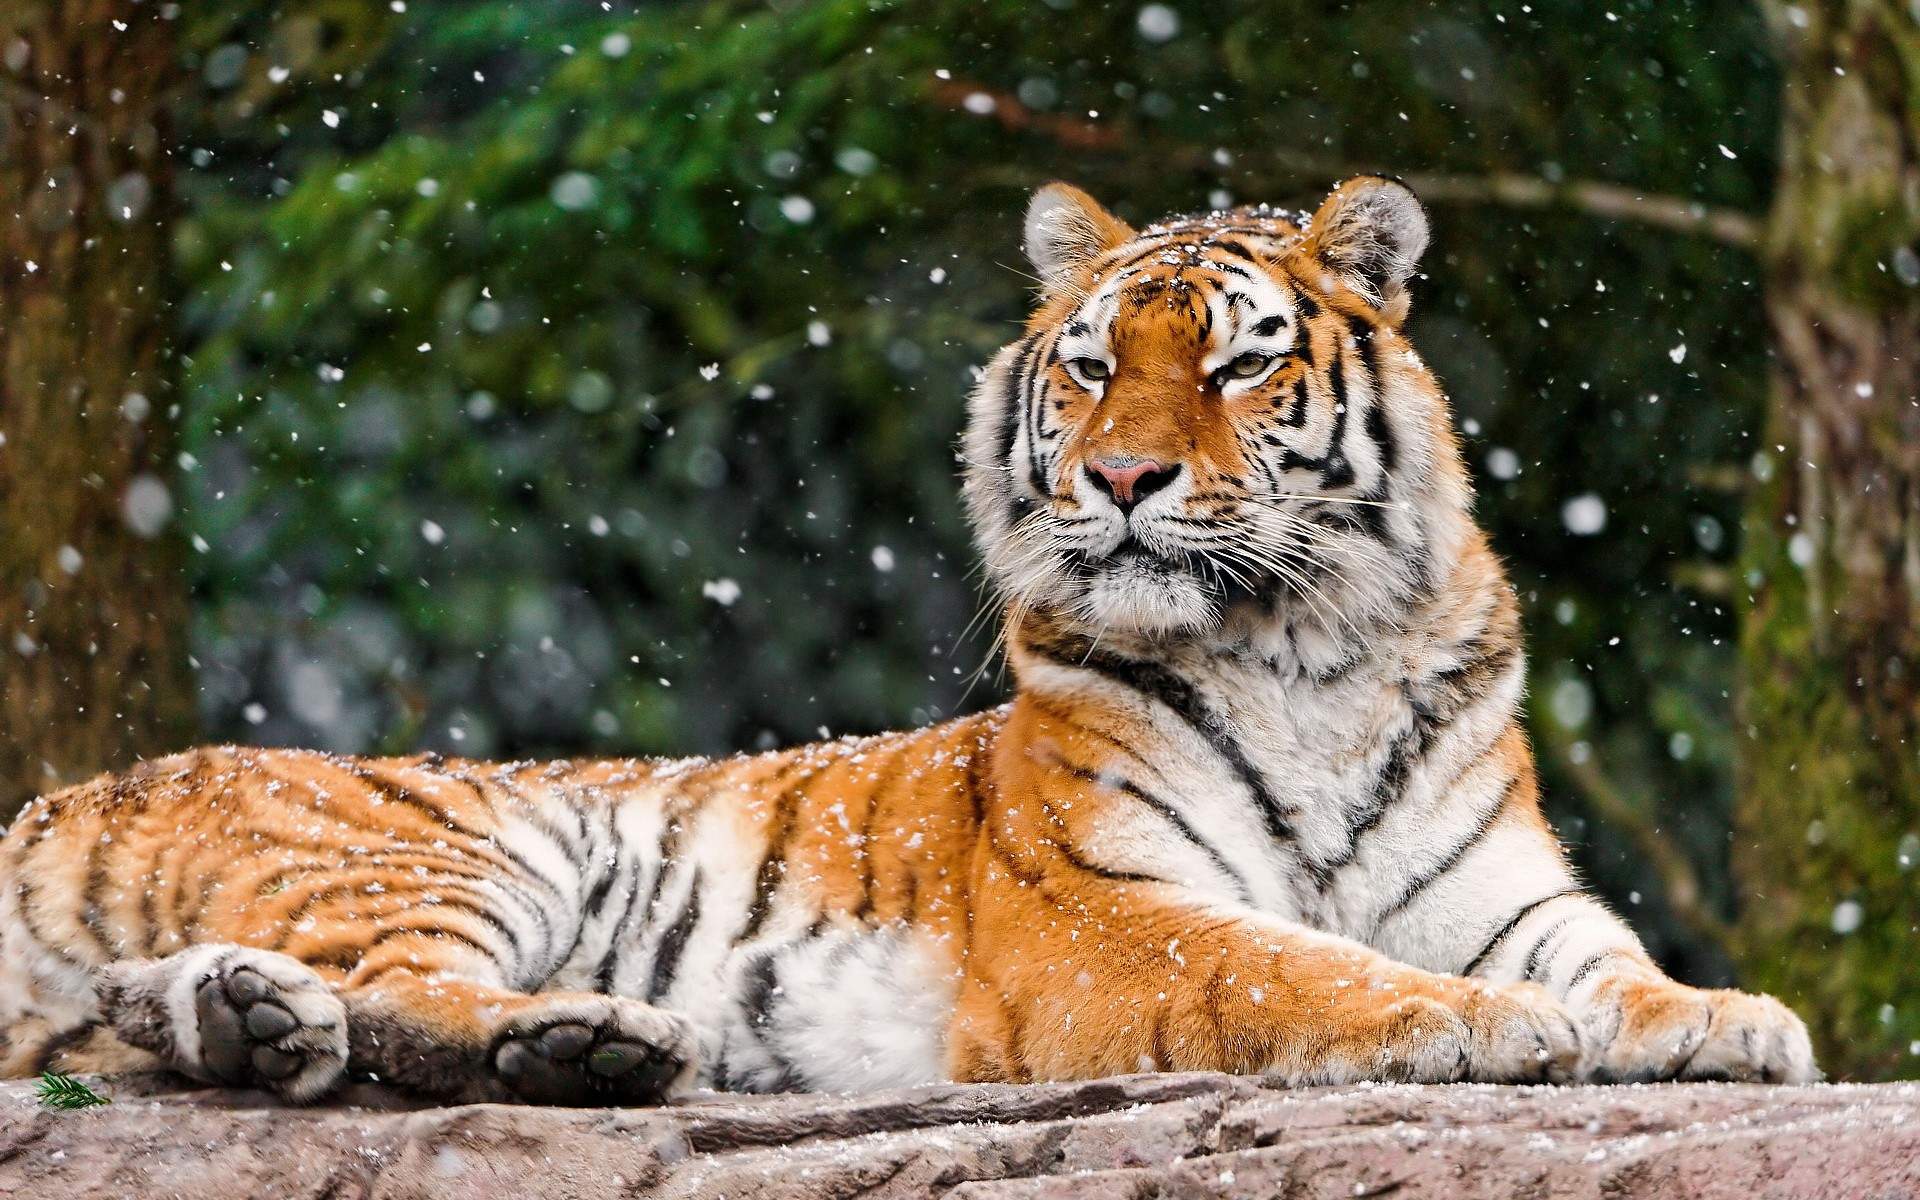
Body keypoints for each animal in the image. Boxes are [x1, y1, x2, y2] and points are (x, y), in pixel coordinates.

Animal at [0, 177, 1815, 1107]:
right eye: (1091, 365)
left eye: (1237, 365)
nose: (1125, 478)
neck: (1309, 652)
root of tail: (66, 793)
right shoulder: (1102, 911)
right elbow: (1293, 964)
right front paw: (1476, 1024)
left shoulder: (1504, 888)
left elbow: (1609, 958)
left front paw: (1727, 1019)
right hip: (440, 846)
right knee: (391, 1000)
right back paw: (578, 1041)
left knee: (210, 1012)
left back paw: (276, 1025)